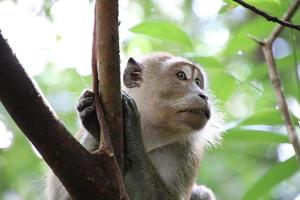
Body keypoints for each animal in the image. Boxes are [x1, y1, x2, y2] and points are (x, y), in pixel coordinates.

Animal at [45, 52, 221, 199]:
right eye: (181, 76)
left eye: (198, 82)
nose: (204, 95)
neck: (151, 136)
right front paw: (94, 121)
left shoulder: (186, 153)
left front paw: (131, 128)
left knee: (202, 193)